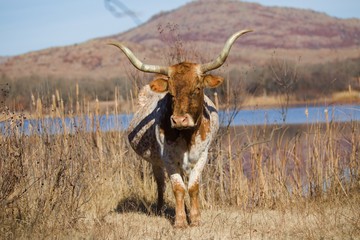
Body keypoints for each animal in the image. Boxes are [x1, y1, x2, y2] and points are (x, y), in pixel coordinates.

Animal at [110, 29, 253, 228]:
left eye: (197, 88)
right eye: (171, 93)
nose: (179, 120)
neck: (186, 136)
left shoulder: (202, 156)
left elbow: (192, 187)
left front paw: (195, 218)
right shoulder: (168, 158)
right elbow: (178, 188)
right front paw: (179, 221)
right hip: (156, 161)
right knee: (161, 184)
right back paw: (160, 208)